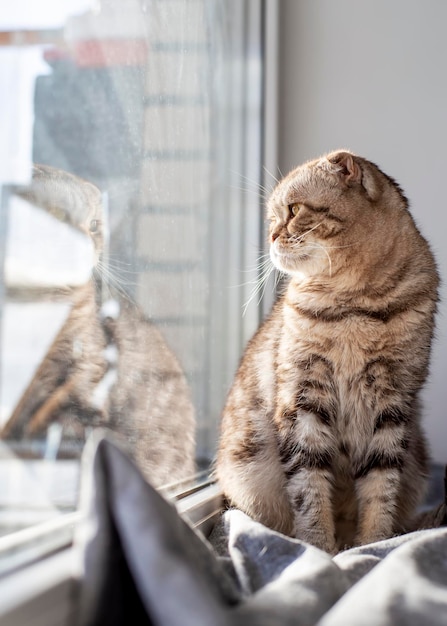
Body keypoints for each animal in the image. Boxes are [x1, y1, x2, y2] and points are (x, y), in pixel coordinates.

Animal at [217, 149, 440, 548]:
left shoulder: (393, 401)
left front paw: (371, 544)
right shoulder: (302, 397)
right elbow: (308, 487)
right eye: (271, 218)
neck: (353, 304)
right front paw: (320, 547)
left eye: (293, 210)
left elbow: (380, 488)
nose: (270, 235)